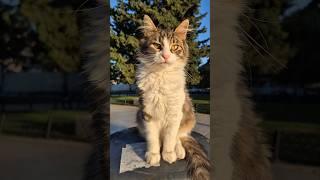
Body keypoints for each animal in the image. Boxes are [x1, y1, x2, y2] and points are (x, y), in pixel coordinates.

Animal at [136, 15, 211, 180]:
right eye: (157, 45)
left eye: (175, 47)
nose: (165, 55)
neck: (162, 75)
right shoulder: (147, 112)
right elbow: (152, 137)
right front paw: (153, 154)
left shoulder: (175, 113)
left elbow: (171, 136)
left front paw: (168, 154)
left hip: (188, 114)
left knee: (179, 136)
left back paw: (179, 150)